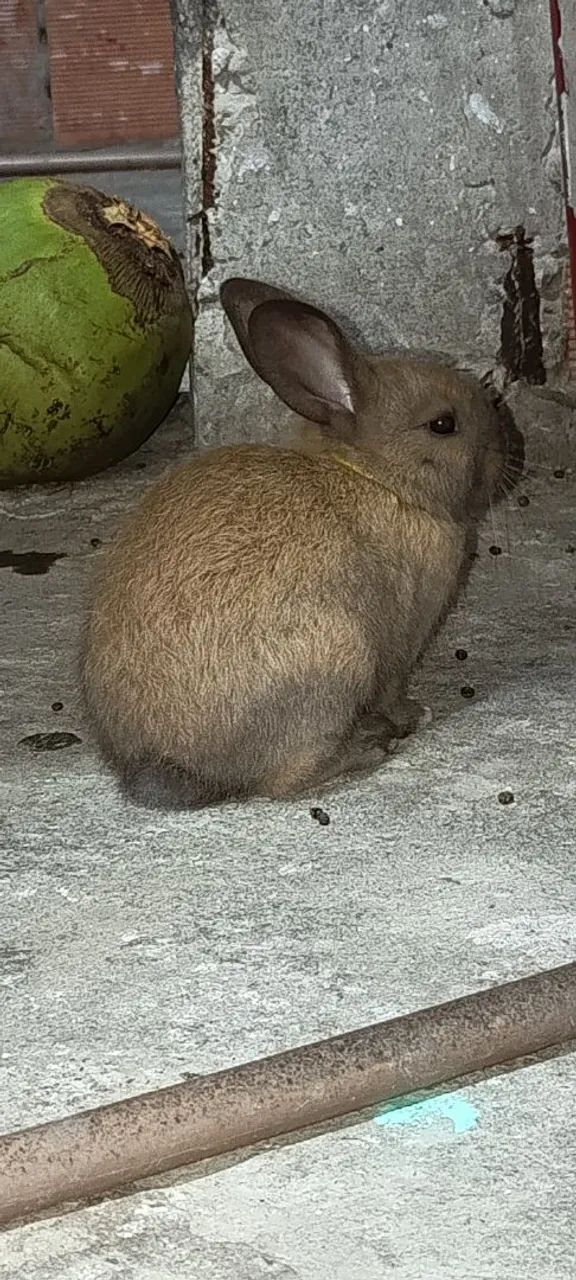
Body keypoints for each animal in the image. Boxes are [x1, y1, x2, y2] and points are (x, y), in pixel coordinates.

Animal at [81, 275, 522, 809]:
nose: (507, 449)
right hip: (340, 661)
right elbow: (394, 690)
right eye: (443, 424)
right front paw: (416, 714)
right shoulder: (401, 642)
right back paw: (368, 749)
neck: (380, 477)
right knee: (285, 781)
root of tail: (173, 765)